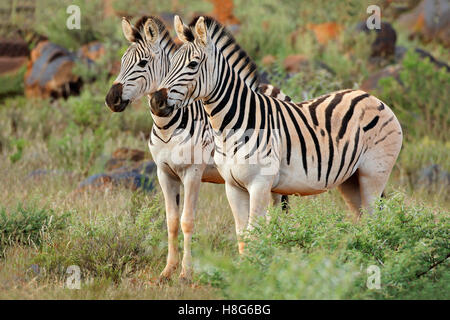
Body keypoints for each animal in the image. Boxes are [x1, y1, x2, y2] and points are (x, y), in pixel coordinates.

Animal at [104, 15, 290, 280]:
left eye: (142, 62)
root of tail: (272, 88)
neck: (167, 126)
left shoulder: (192, 171)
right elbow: (171, 221)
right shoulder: (164, 172)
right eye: (121, 62)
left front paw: (185, 273)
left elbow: (187, 220)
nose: (111, 99)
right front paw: (167, 270)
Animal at [153, 15, 402, 255]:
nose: (156, 101)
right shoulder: (232, 187)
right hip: (350, 179)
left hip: (373, 173)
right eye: (170, 63)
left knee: (375, 219)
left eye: (193, 64)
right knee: (364, 219)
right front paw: (244, 269)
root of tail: (371, 97)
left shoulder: (260, 184)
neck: (230, 126)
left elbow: (254, 234)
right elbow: (242, 236)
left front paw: (257, 267)